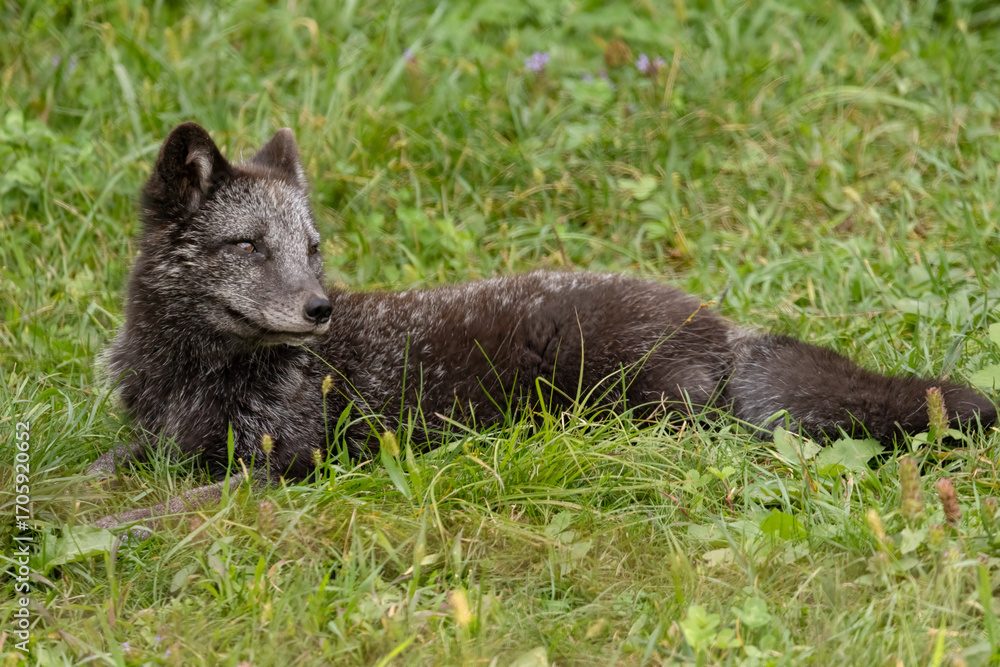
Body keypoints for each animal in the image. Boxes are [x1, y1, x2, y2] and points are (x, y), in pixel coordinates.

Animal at [89, 122, 997, 532]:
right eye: (249, 245)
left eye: (312, 250)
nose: (320, 309)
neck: (195, 380)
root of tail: (718, 324)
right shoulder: (154, 442)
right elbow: (98, 473)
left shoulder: (284, 466)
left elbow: (144, 511)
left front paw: (80, 531)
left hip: (634, 410)